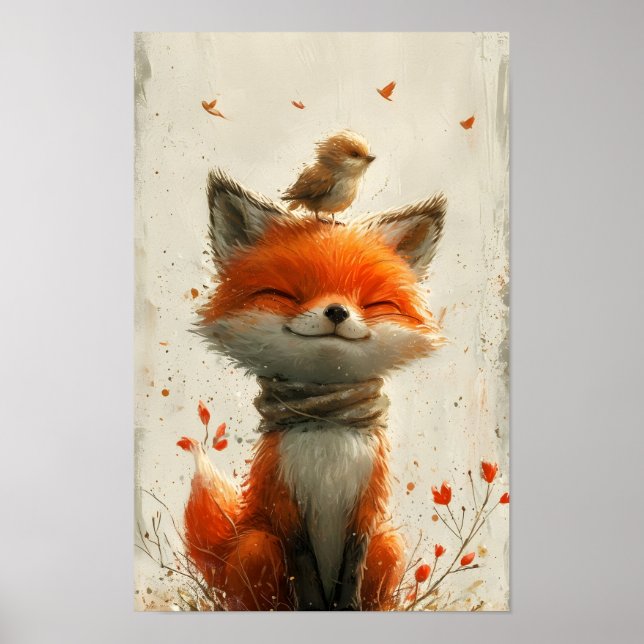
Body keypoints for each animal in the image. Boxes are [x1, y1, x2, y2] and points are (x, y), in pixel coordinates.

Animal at [178, 168, 447, 611]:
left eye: (371, 303)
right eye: (287, 295)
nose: (337, 311)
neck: (327, 432)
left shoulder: (365, 510)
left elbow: (350, 576)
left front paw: (347, 609)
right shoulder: (284, 506)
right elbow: (304, 573)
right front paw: (313, 608)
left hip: (389, 545)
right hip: (257, 544)